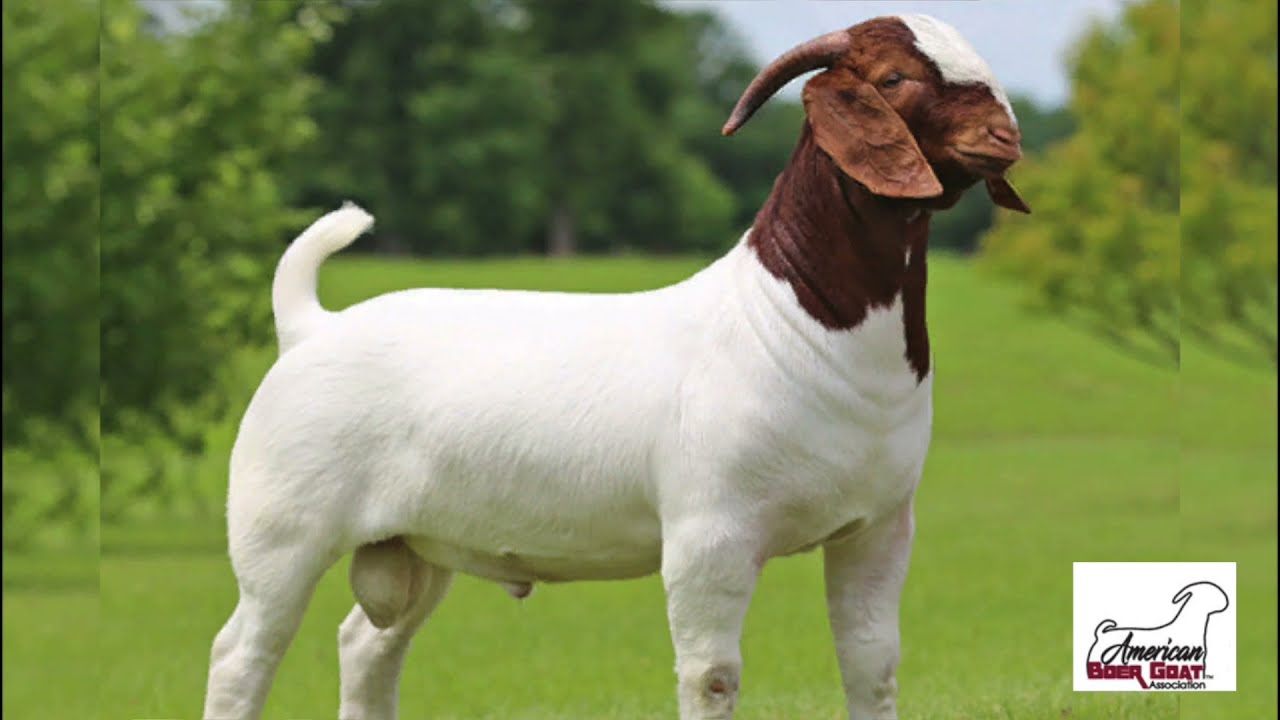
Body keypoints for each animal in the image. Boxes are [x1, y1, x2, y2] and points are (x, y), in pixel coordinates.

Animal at [203, 14, 1029, 720]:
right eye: (893, 78)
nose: (1006, 136)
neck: (789, 321)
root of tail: (310, 327)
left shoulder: (878, 529)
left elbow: (871, 664)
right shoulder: (708, 537)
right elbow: (712, 676)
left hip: (415, 545)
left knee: (367, 646)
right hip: (282, 533)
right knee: (241, 655)